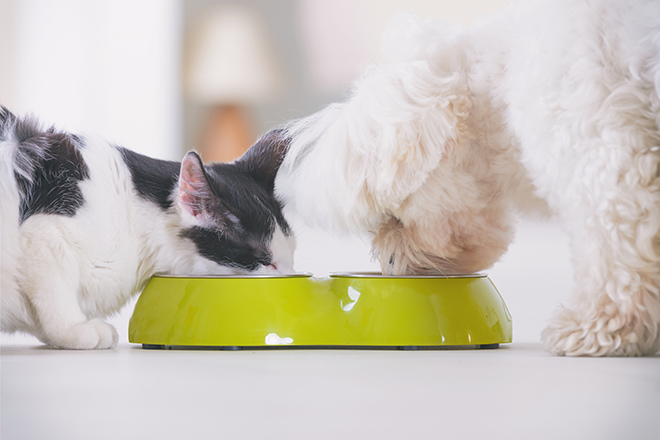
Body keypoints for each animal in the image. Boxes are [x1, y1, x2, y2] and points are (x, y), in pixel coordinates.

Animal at [0, 108, 294, 348]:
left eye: (291, 255)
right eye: (265, 262)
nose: (290, 277)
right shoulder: (43, 234)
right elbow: (55, 293)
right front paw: (73, 330)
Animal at [272, 0, 660, 356]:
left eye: (395, 217)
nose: (389, 264)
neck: (501, 80)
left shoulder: (601, 154)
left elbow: (612, 248)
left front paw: (599, 328)